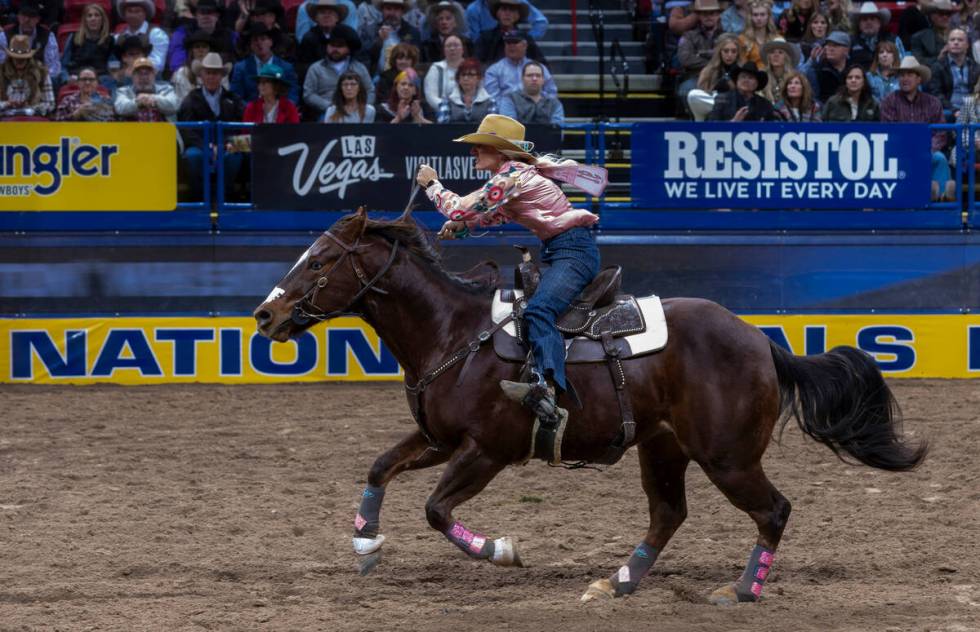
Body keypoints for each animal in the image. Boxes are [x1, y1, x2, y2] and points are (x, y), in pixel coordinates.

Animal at [251, 207, 928, 604]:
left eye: (320, 260)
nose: (264, 315)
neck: (452, 334)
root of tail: (762, 340)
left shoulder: (486, 451)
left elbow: (437, 511)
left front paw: (503, 551)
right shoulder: (439, 440)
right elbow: (379, 467)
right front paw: (366, 546)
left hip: (728, 457)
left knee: (774, 510)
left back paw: (739, 591)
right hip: (663, 448)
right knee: (669, 513)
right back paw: (620, 581)